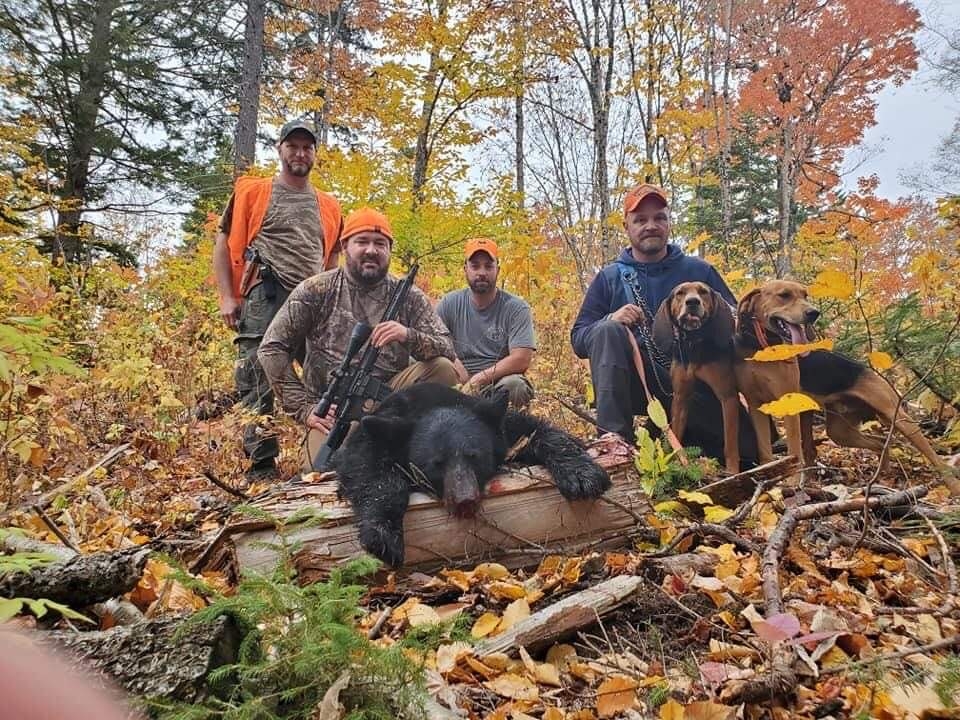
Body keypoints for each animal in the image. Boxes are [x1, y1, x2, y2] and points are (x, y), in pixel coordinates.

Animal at [334, 386, 612, 564]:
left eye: (474, 456)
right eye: (436, 464)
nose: (465, 500)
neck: (429, 404)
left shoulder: (501, 426)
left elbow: (539, 431)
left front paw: (582, 475)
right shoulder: (370, 440)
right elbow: (368, 471)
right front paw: (382, 536)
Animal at [652, 280, 744, 472]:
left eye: (703, 292)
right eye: (680, 293)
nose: (692, 302)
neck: (694, 344)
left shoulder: (728, 397)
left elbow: (730, 444)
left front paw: (733, 471)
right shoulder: (680, 397)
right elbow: (676, 434)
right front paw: (675, 462)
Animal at [736, 278, 952, 476]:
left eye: (805, 295)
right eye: (784, 295)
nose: (814, 313)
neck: (762, 349)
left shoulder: (789, 405)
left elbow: (794, 451)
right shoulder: (755, 405)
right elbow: (765, 452)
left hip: (898, 417)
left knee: (936, 459)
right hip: (840, 431)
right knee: (880, 442)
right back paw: (882, 476)